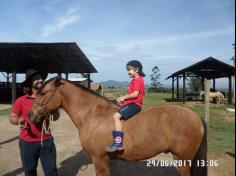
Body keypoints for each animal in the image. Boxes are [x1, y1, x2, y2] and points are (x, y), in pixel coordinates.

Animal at [29, 77, 206, 176]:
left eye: (43, 92)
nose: (31, 115)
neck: (92, 115)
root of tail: (196, 116)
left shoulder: (99, 159)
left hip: (183, 160)